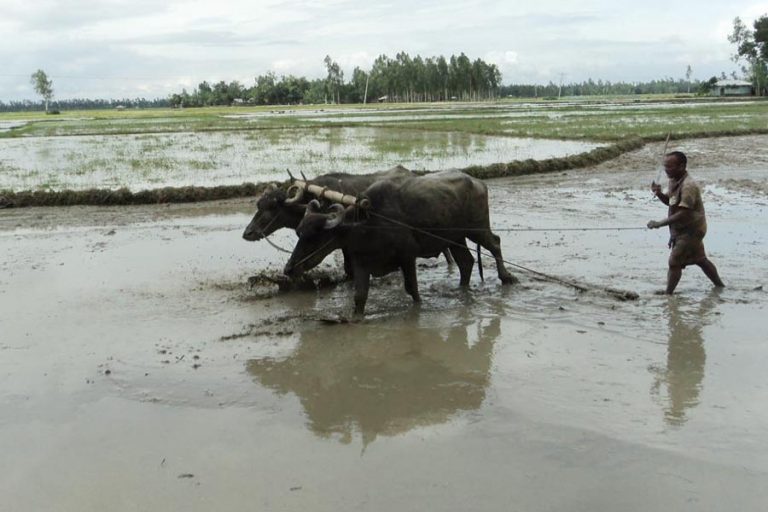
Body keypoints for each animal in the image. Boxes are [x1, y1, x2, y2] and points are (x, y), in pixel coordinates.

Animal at [282, 172, 516, 316]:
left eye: (315, 237)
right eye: (299, 232)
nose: (289, 269)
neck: (367, 223)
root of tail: (478, 183)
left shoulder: (407, 257)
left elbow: (412, 289)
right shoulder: (361, 264)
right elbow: (359, 297)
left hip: (477, 229)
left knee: (495, 243)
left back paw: (506, 277)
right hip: (456, 239)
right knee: (466, 262)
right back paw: (462, 290)